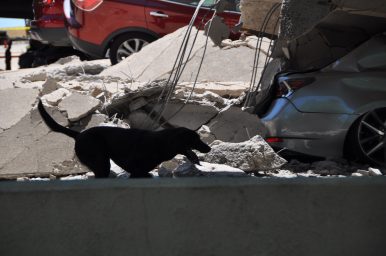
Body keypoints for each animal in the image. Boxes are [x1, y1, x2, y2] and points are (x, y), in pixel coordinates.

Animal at [37, 99, 210, 178]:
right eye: (195, 139)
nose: (209, 148)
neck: (161, 143)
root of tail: (79, 135)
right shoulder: (135, 171)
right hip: (102, 164)